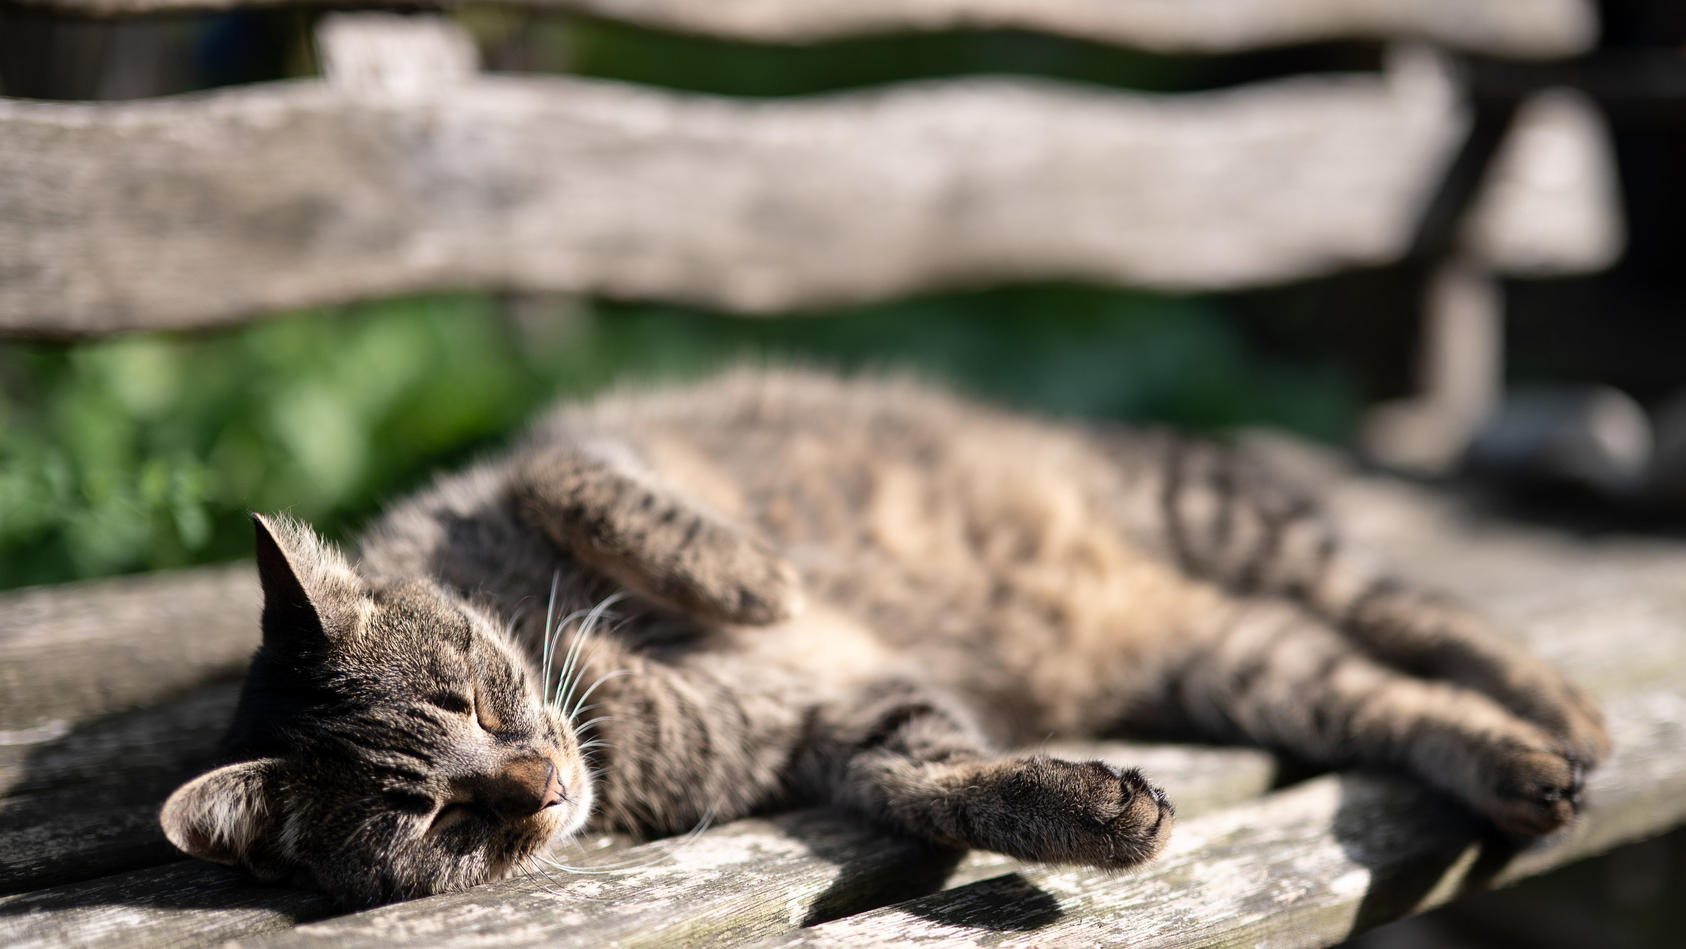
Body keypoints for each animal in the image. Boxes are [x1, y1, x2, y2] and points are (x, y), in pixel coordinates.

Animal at [158, 369, 1605, 903]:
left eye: (471, 694)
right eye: (437, 818)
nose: (539, 783)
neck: (609, 701)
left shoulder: (550, 460)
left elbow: (592, 488)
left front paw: (753, 583)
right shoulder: (847, 738)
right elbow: (950, 782)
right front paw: (1083, 813)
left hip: (1224, 524)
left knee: (1409, 609)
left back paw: (1563, 705)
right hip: (1238, 658)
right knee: (1381, 692)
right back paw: (1522, 765)